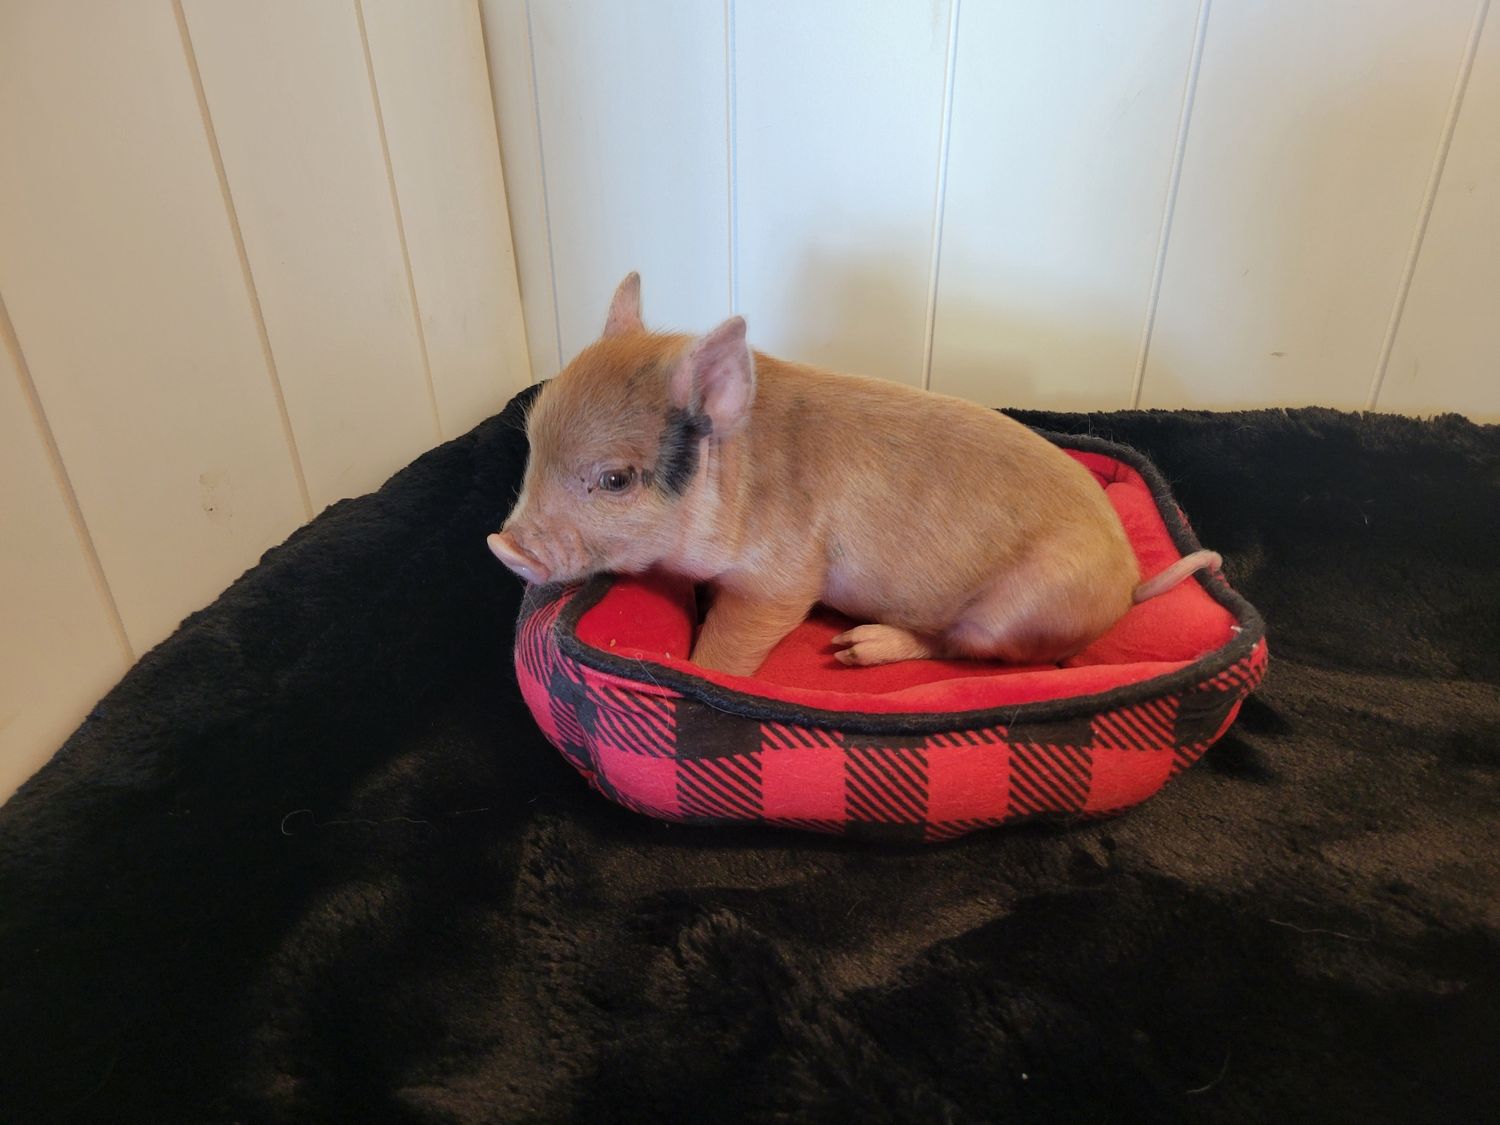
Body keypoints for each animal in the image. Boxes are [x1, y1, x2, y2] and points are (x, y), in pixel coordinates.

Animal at [489, 273, 1220, 677]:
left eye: (616, 479)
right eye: (532, 445)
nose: (503, 545)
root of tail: (1128, 585)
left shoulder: (784, 578)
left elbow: (732, 641)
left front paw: (706, 672)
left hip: (1014, 613)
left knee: (963, 649)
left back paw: (853, 650)